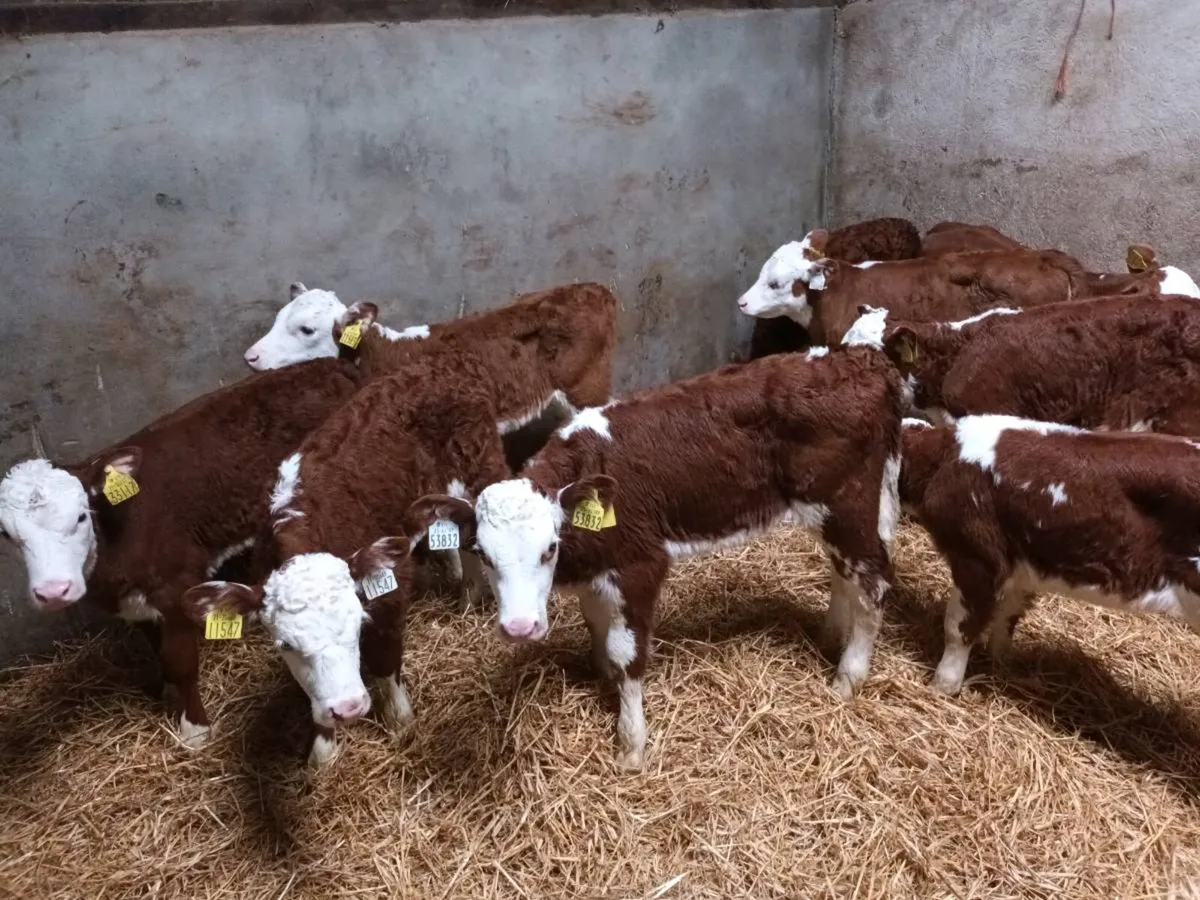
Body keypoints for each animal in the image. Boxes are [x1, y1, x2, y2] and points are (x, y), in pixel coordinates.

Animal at [0, 359, 363, 746]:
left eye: (82, 516)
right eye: (6, 533)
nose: (54, 591)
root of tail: (330, 364)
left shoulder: (174, 587)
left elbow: (180, 661)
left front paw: (195, 729)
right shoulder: (136, 602)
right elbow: (156, 649)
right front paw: (167, 693)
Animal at [180, 340, 538, 766]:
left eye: (357, 626)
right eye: (286, 645)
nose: (348, 708)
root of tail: (441, 364)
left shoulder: (389, 591)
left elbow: (384, 660)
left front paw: (400, 720)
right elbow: (312, 694)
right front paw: (322, 753)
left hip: (480, 467)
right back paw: (467, 593)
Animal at [406, 347, 904, 770]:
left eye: (549, 548)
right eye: (483, 555)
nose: (519, 628)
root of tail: (863, 361)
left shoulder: (639, 566)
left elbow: (627, 653)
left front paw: (631, 746)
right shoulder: (599, 570)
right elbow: (596, 624)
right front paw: (601, 677)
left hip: (846, 503)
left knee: (875, 580)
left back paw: (847, 678)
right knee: (845, 571)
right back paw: (830, 634)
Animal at [899, 416, 1200, 696]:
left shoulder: (978, 558)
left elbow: (958, 628)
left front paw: (942, 686)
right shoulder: (1019, 565)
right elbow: (1008, 616)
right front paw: (1001, 664)